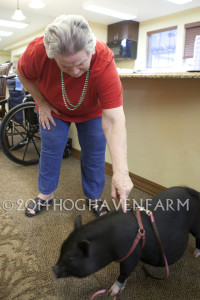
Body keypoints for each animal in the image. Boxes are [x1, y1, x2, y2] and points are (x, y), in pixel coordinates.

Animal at [52, 186, 200, 296]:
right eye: (60, 250)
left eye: (70, 258)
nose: (53, 269)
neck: (108, 242)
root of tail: (192, 191)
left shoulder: (132, 254)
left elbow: (124, 272)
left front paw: (112, 292)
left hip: (195, 225)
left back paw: (196, 254)